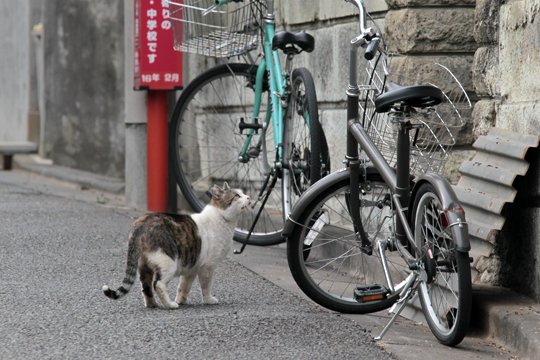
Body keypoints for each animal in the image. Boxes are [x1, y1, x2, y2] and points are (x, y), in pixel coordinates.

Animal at [102, 183, 251, 310]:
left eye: (243, 193)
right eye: (237, 196)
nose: (249, 197)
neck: (221, 218)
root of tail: (140, 224)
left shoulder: (192, 267)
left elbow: (183, 286)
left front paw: (181, 300)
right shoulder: (207, 267)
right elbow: (206, 286)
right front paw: (208, 300)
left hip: (144, 265)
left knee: (146, 287)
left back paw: (153, 304)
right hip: (168, 262)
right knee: (158, 284)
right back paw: (169, 304)